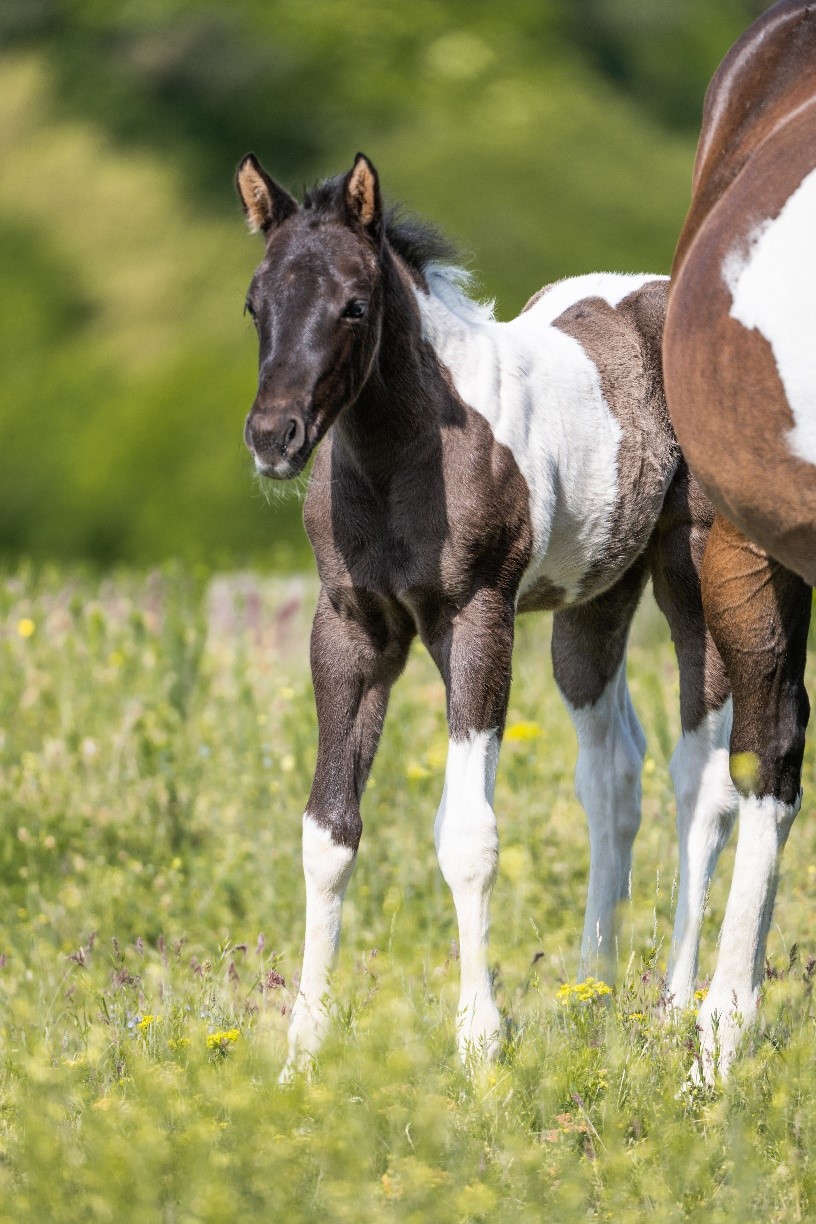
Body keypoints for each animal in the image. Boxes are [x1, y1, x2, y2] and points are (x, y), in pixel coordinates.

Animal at [236, 150, 783, 1083]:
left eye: (354, 304)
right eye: (254, 303)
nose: (275, 437)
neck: (403, 458)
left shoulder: (477, 620)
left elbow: (468, 836)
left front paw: (479, 1042)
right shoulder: (349, 629)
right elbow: (328, 834)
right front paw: (301, 1055)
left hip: (693, 579)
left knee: (700, 780)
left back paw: (679, 1005)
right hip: (593, 604)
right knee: (614, 774)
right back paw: (594, 992)